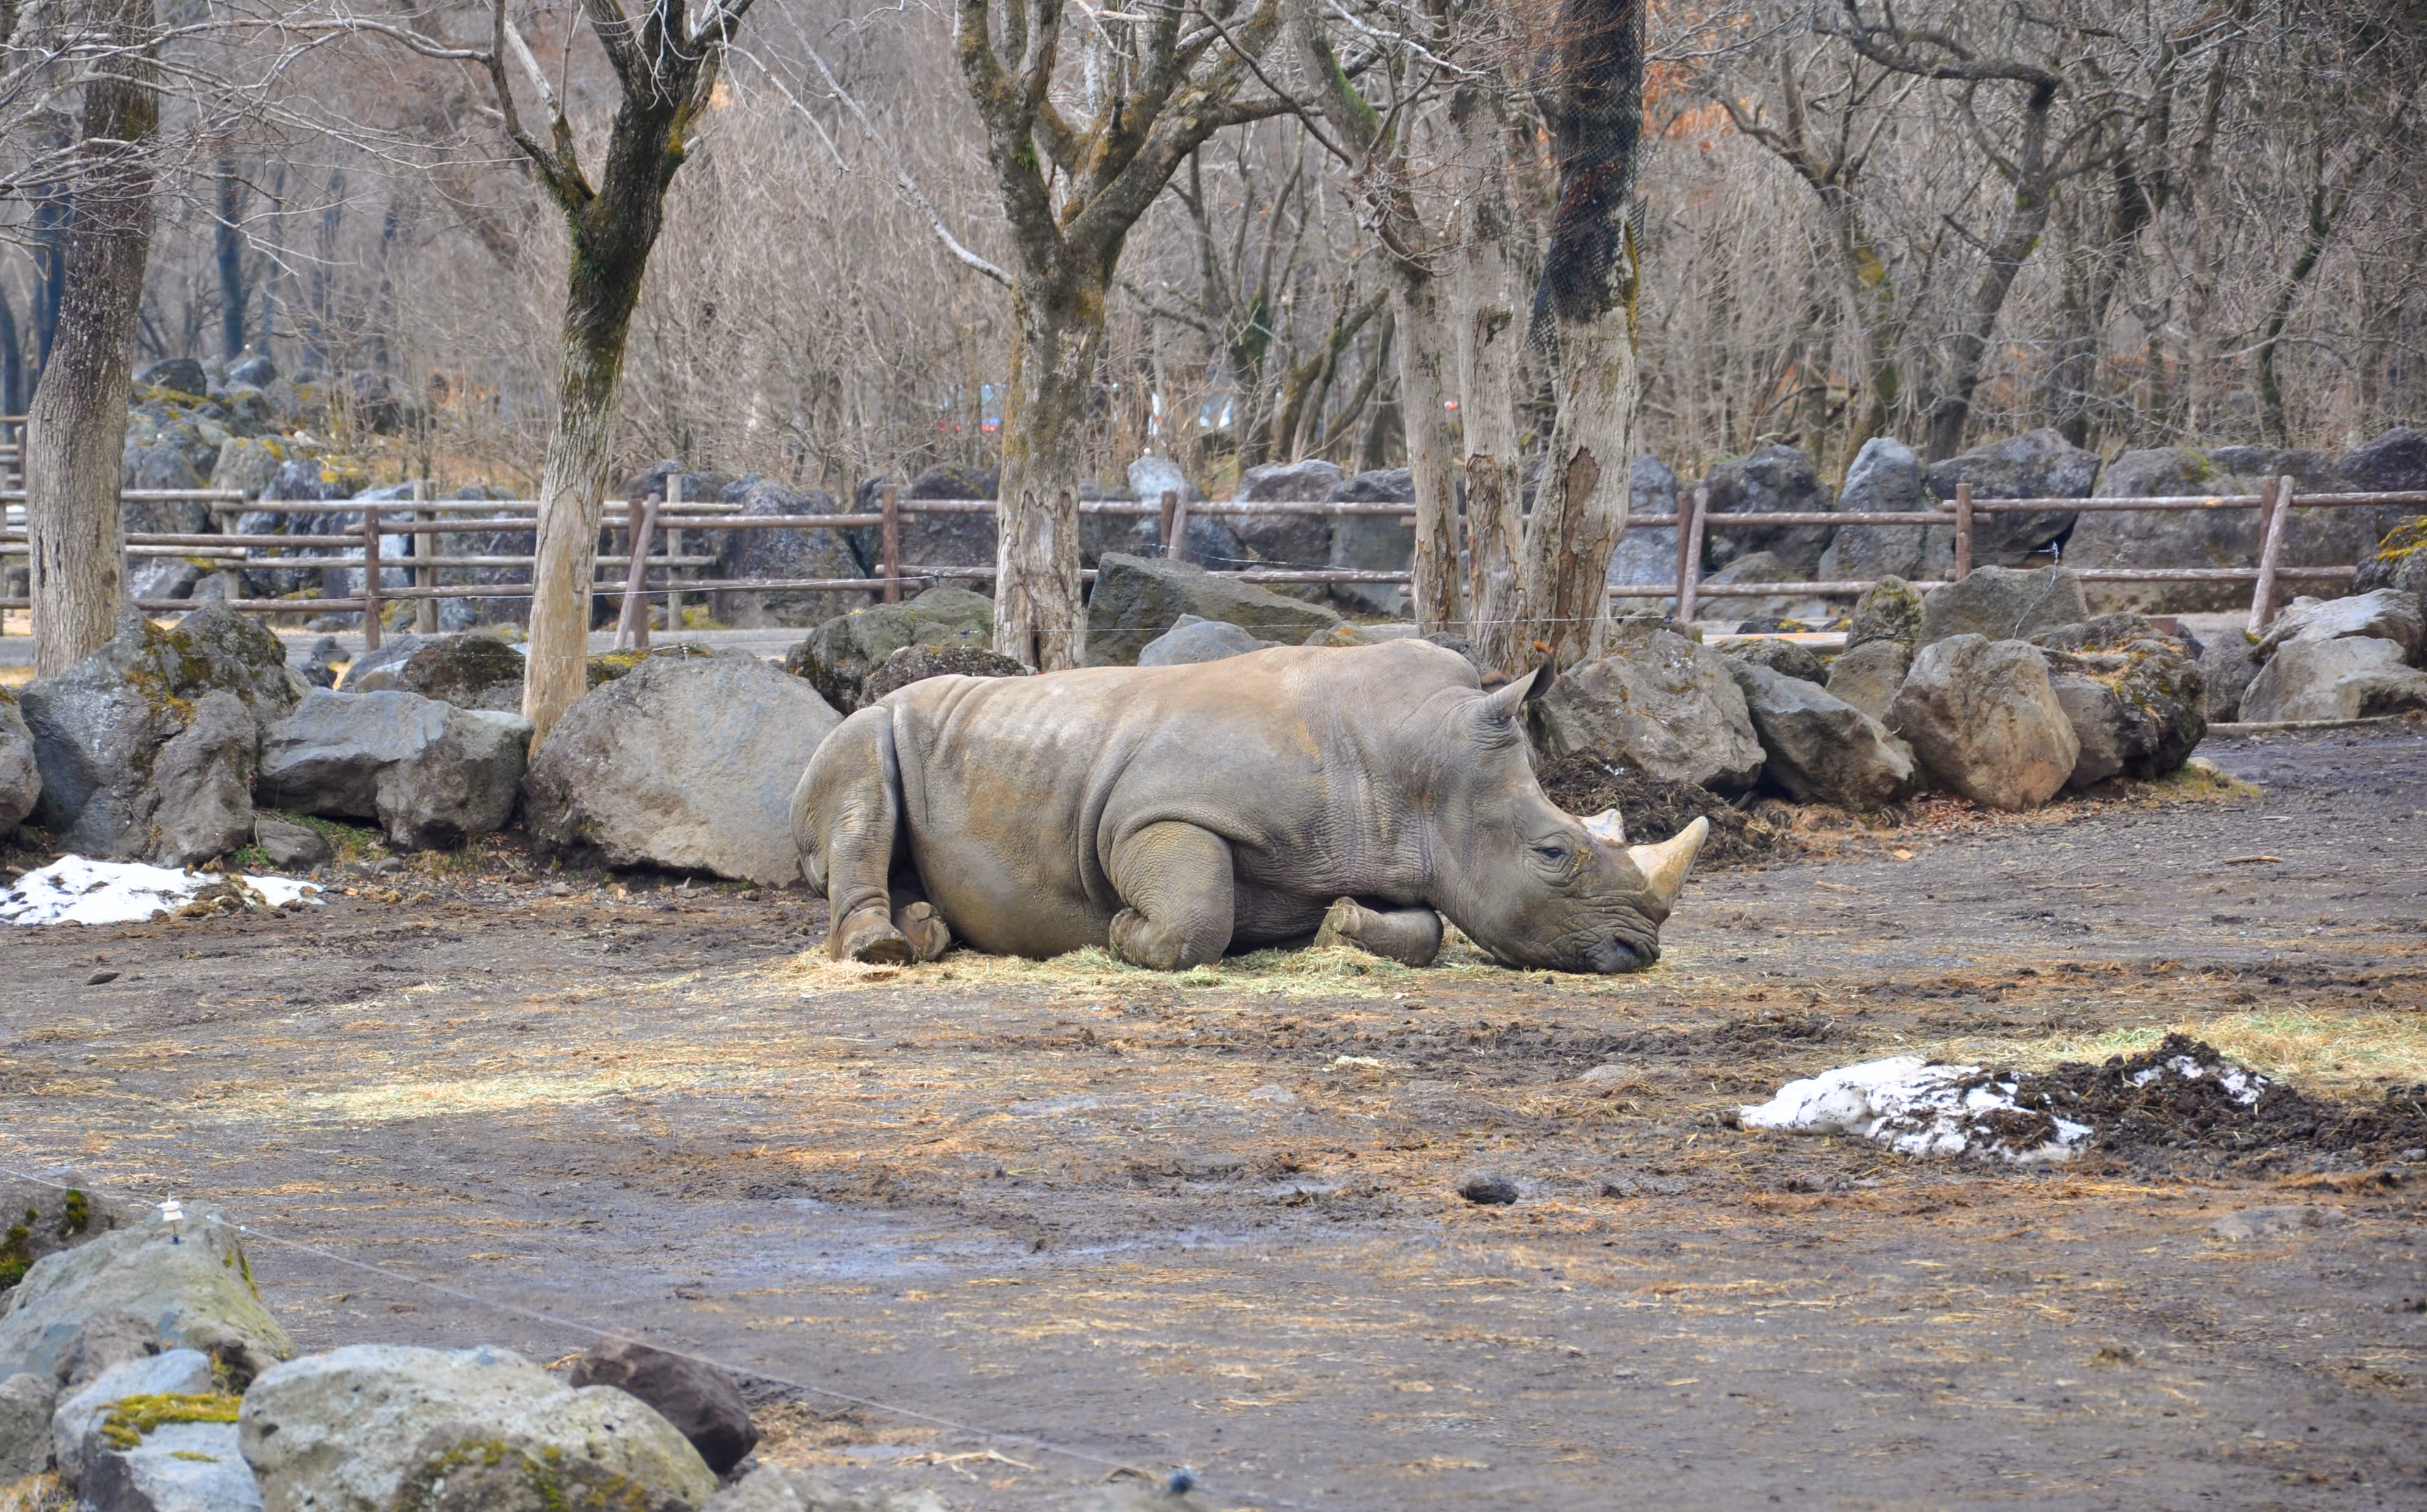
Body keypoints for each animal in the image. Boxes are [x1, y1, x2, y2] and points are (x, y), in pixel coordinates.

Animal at [791, 640, 1707, 972]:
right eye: (1553, 854)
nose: (1639, 950)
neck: (1419, 761)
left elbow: (1426, 925)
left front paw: (1339, 926)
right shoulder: (1157, 812)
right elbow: (1197, 913)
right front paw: (1119, 932)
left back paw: (924, 933)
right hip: (868, 725)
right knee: (862, 787)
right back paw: (882, 950)